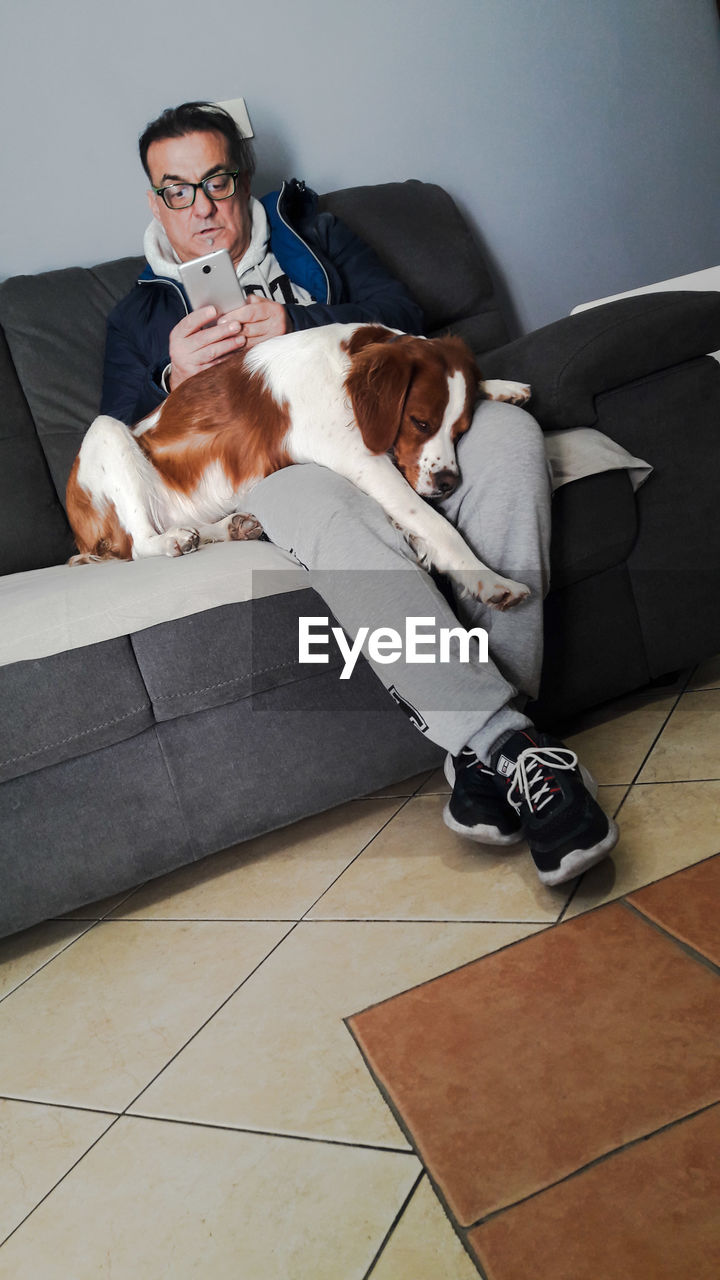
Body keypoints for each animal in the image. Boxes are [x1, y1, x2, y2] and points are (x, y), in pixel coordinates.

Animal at [65, 327, 527, 611]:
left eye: (461, 429)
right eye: (420, 423)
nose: (449, 483)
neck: (344, 368)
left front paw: (501, 386)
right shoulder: (363, 461)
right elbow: (437, 526)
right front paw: (490, 579)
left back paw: (230, 527)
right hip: (107, 430)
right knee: (139, 545)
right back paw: (173, 541)